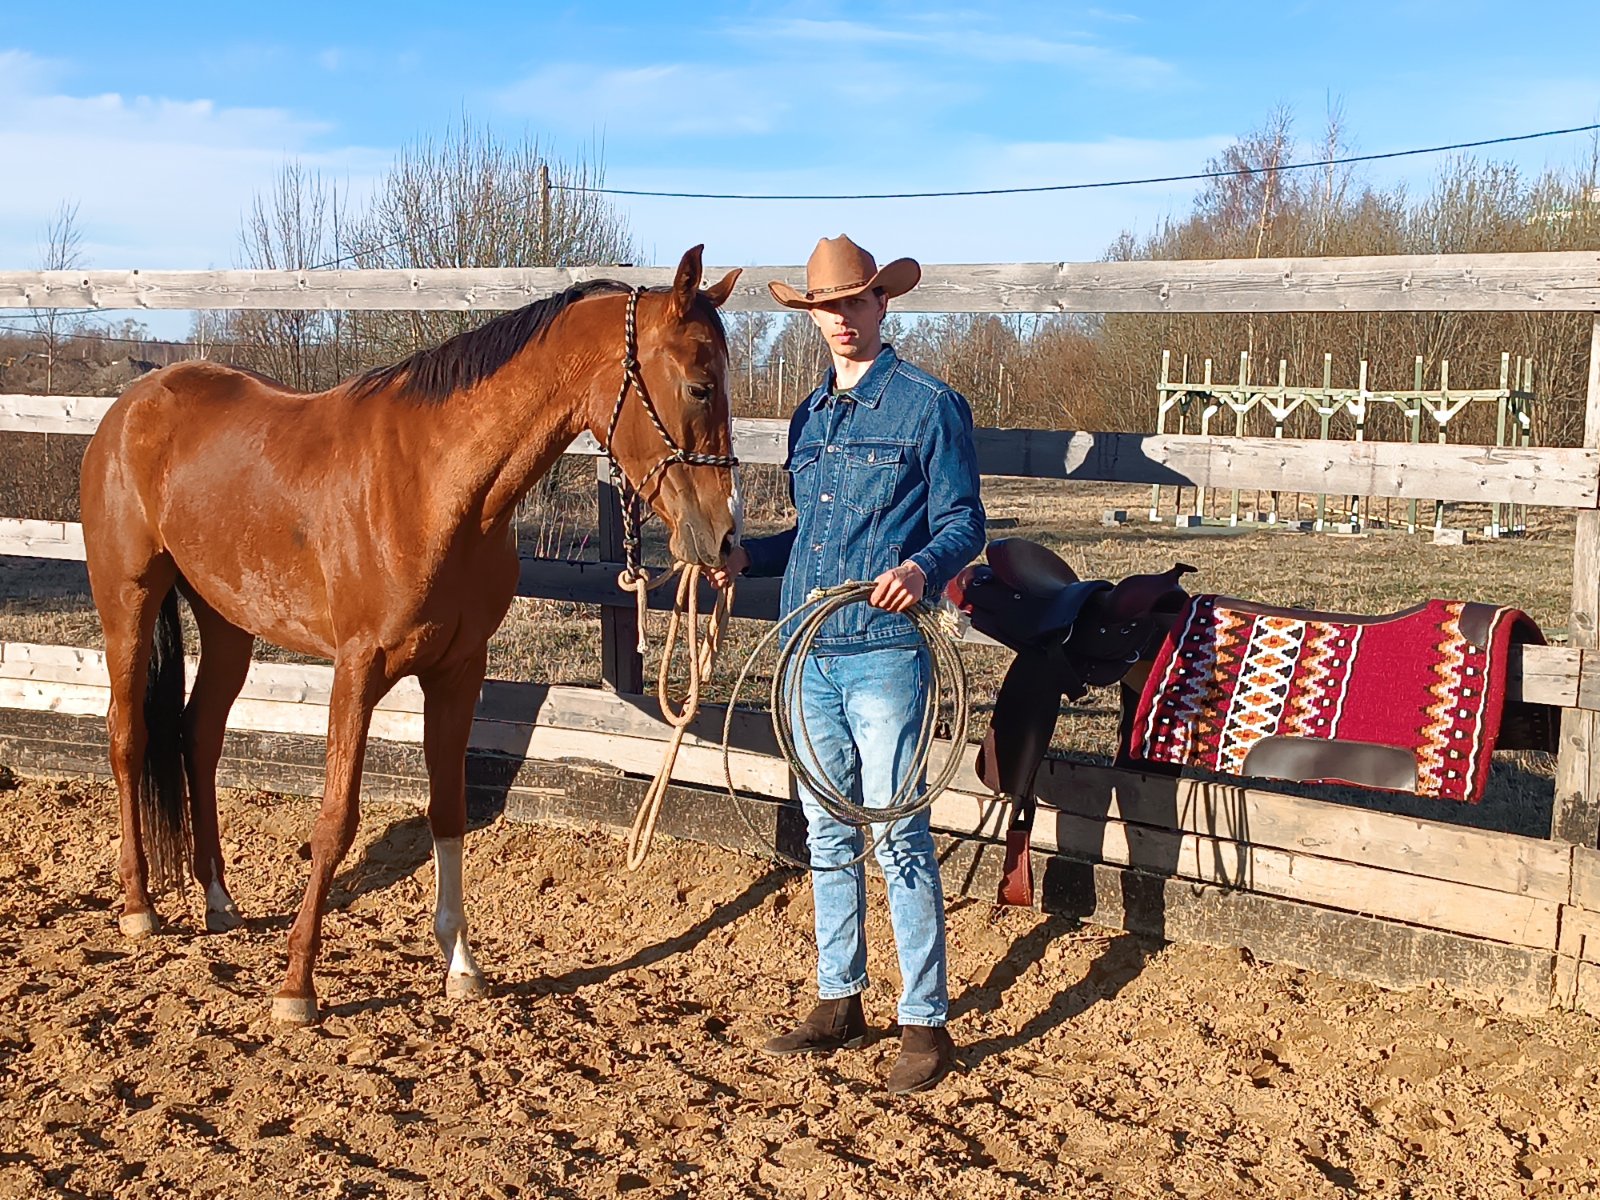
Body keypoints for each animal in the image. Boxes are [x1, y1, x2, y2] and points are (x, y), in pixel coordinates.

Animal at [79, 246, 743, 1023]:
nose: (725, 543)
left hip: (228, 622)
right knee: (128, 736)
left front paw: (461, 964)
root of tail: (132, 404)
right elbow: (336, 819)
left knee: (199, 736)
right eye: (699, 386)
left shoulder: (458, 670)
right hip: (128, 601)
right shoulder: (357, 669)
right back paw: (138, 906)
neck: (433, 486)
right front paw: (297, 986)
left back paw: (218, 900)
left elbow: (448, 809)